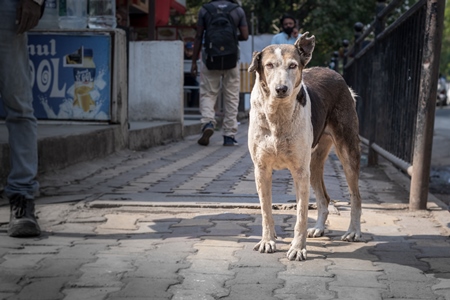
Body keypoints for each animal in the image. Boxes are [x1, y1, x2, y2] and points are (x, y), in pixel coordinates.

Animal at [248, 32, 364, 260]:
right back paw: (318, 228)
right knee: (324, 198)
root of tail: (334, 73)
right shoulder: (261, 169)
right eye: (269, 65)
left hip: (347, 152)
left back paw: (353, 231)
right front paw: (267, 241)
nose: (281, 89)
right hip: (314, 163)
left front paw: (298, 248)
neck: (278, 115)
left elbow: (301, 214)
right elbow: (266, 211)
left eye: (293, 65)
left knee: (356, 196)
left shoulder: (300, 171)